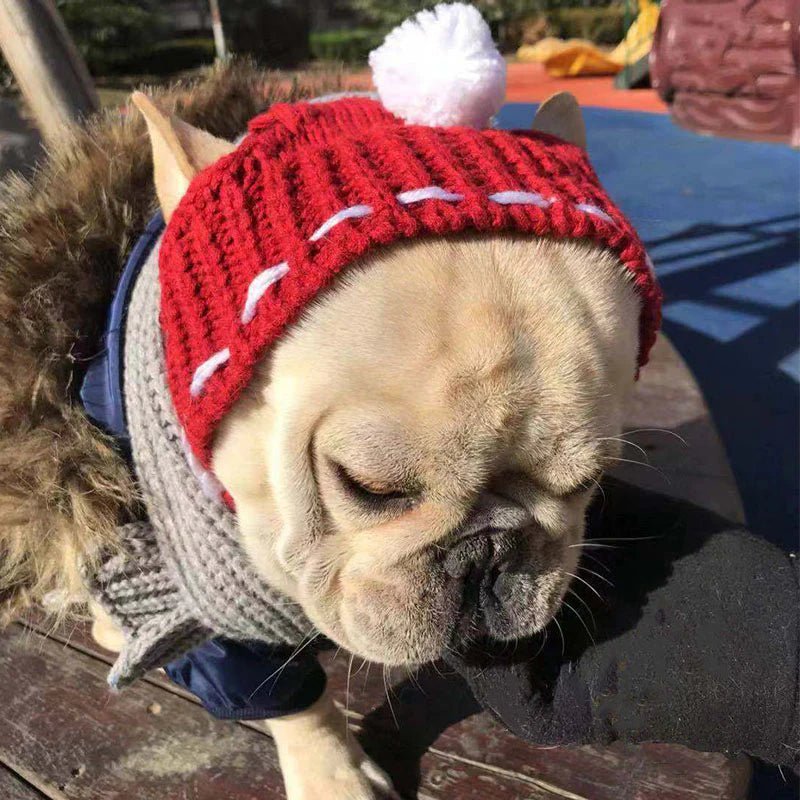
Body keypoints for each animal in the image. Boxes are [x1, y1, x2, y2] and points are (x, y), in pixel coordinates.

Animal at [89, 89, 636, 800]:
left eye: (587, 483)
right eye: (370, 487)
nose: (489, 549)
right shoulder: (205, 583)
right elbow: (287, 698)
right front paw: (332, 777)